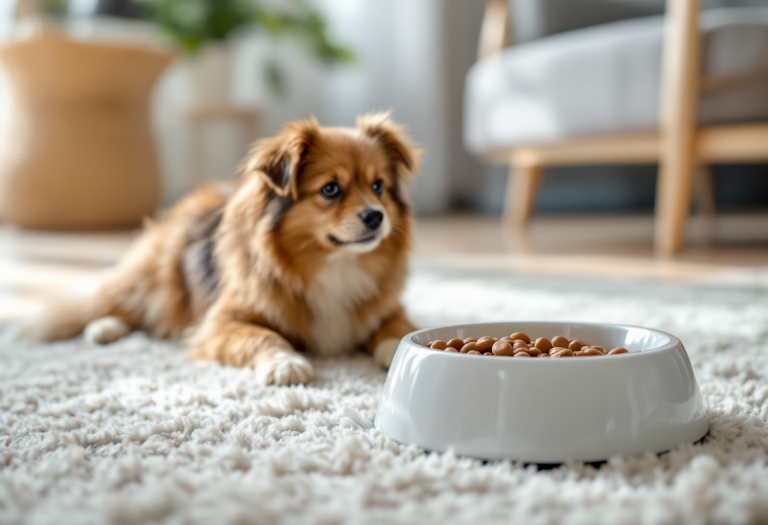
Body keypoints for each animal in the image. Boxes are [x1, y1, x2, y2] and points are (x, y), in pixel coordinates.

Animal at [21, 112, 420, 384]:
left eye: (379, 186)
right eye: (330, 189)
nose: (376, 216)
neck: (334, 263)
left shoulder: (389, 308)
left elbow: (396, 329)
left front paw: (396, 350)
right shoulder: (221, 322)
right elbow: (264, 336)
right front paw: (285, 362)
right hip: (157, 281)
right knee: (116, 304)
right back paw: (104, 328)